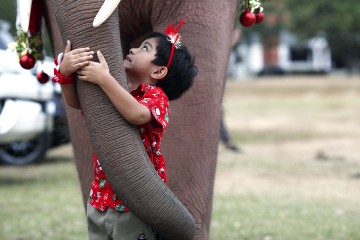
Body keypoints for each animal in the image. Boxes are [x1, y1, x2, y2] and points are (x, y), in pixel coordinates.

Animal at [39, 0, 238, 239]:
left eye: (146, 49)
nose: (132, 52)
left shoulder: (159, 99)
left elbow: (139, 111)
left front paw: (100, 71)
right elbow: (76, 106)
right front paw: (69, 61)